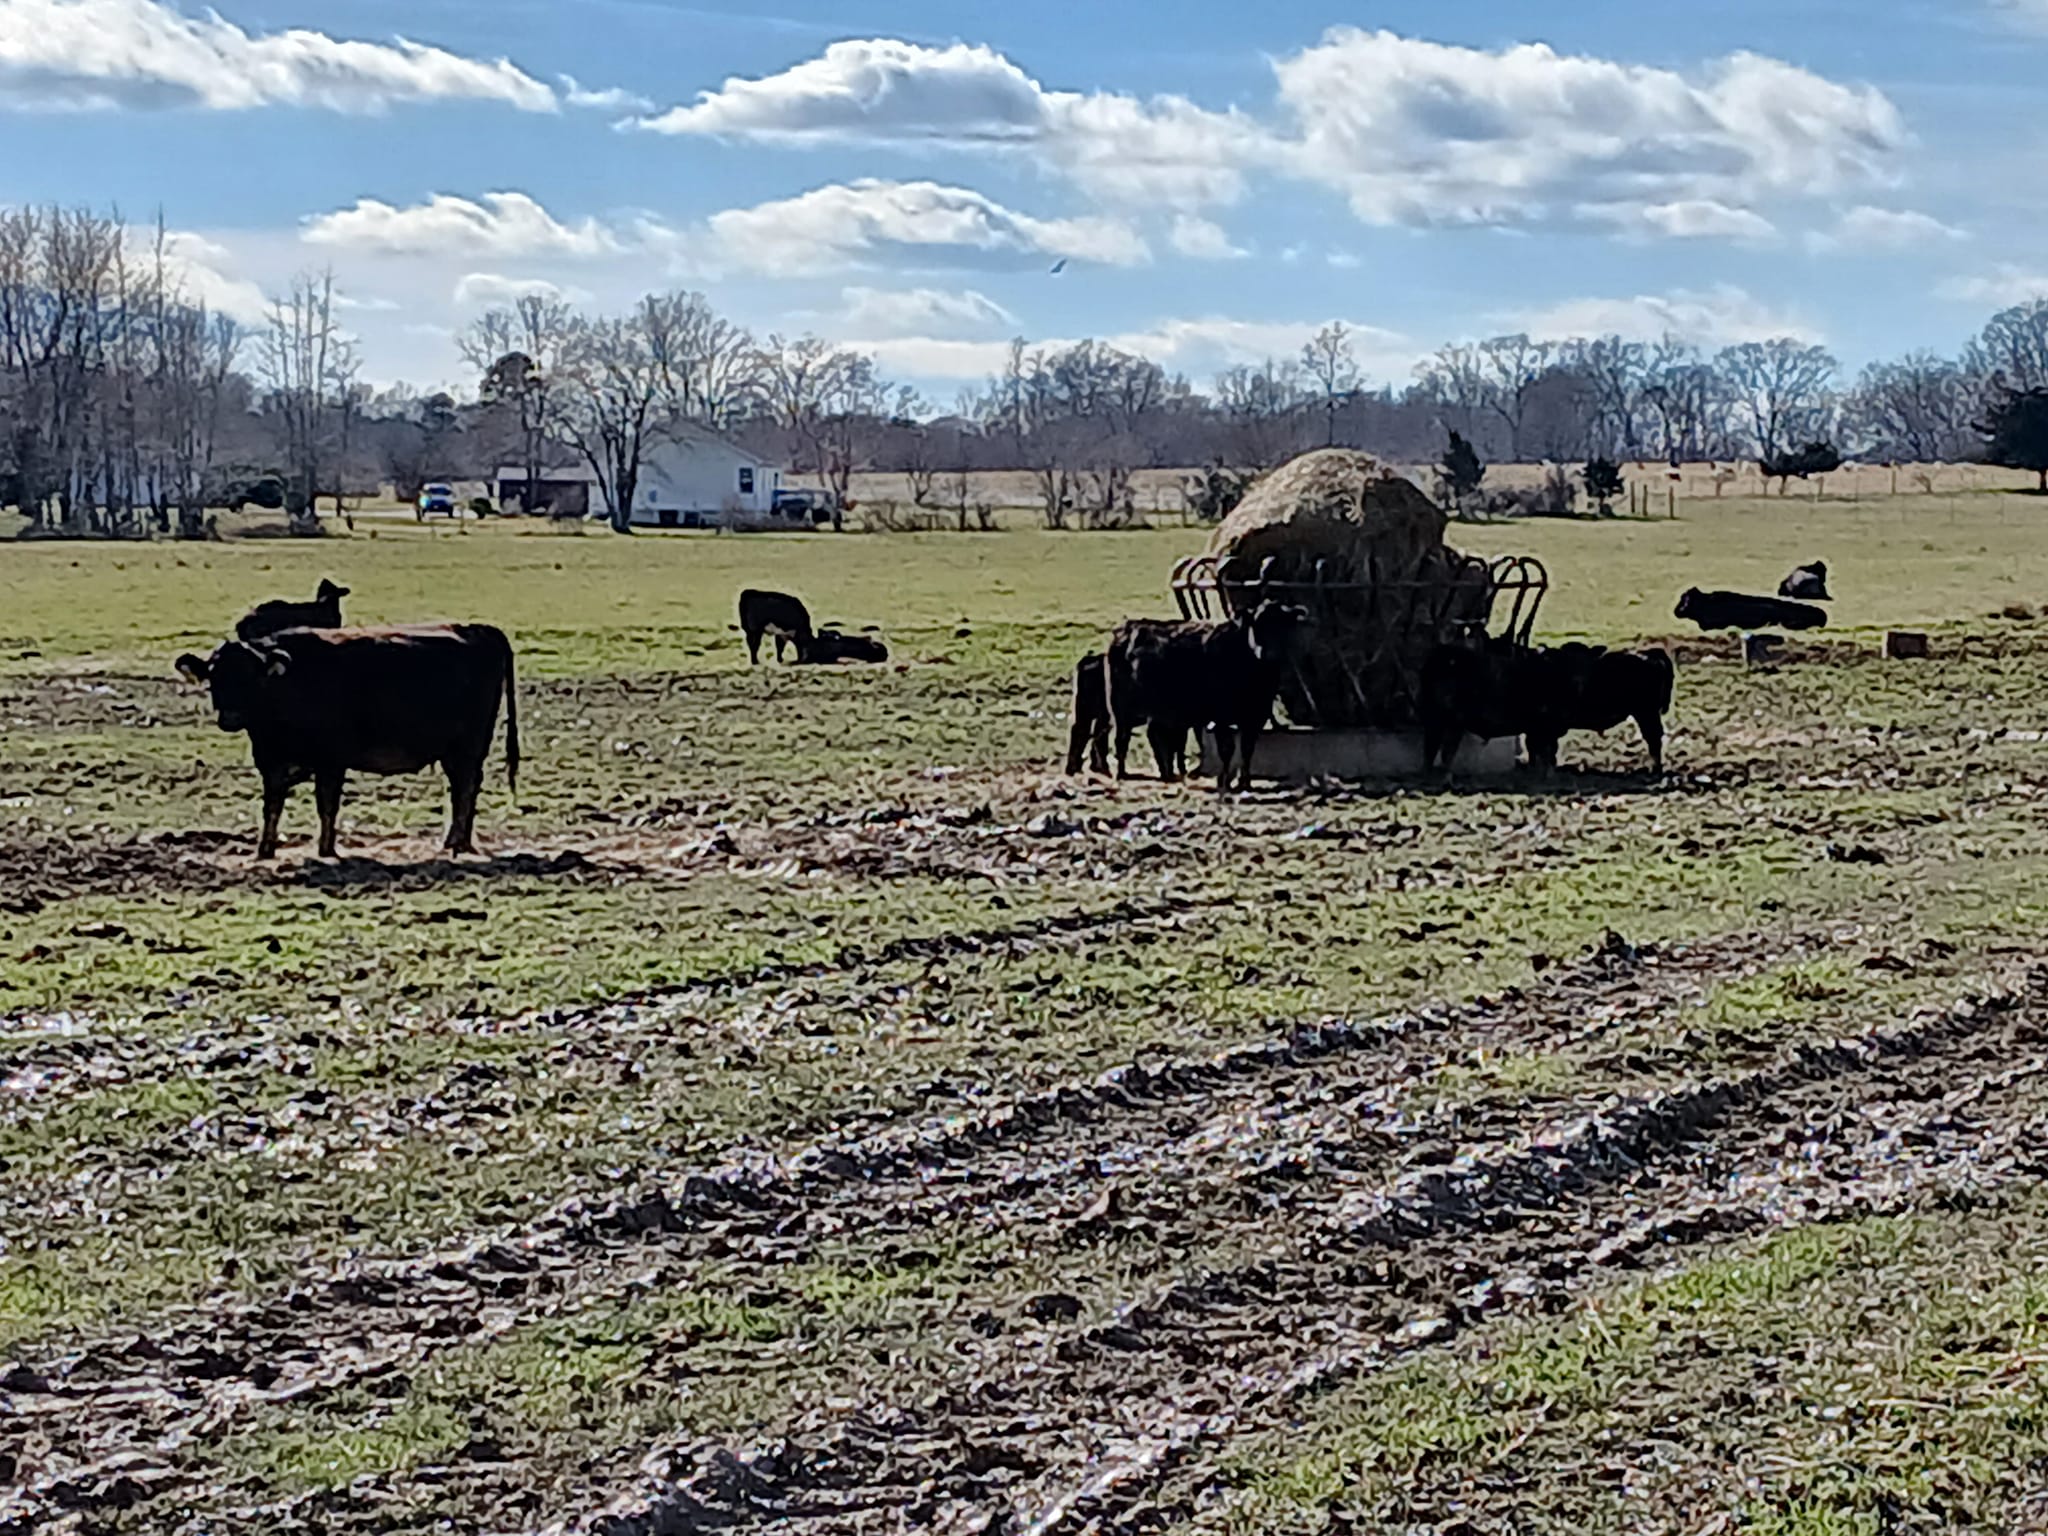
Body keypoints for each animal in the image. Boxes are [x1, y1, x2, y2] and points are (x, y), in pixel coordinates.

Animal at [175, 626, 520, 868]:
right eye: (214, 677)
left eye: (250, 677)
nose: (230, 718)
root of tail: (477, 629)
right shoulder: (271, 762)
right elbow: (272, 806)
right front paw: (265, 849)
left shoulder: (331, 760)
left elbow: (327, 805)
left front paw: (326, 850)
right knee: (463, 788)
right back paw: (459, 842)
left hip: (468, 746)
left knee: (467, 787)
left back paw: (456, 843)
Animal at [1114, 606, 1302, 794]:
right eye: (1255, 624)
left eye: (1282, 625)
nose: (1267, 652)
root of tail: (1129, 626)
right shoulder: (1221, 717)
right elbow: (1226, 749)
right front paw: (1224, 781)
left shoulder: (1255, 717)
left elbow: (1247, 750)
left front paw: (1245, 782)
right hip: (1122, 709)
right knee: (1123, 739)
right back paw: (1122, 774)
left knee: (1156, 736)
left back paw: (1167, 773)